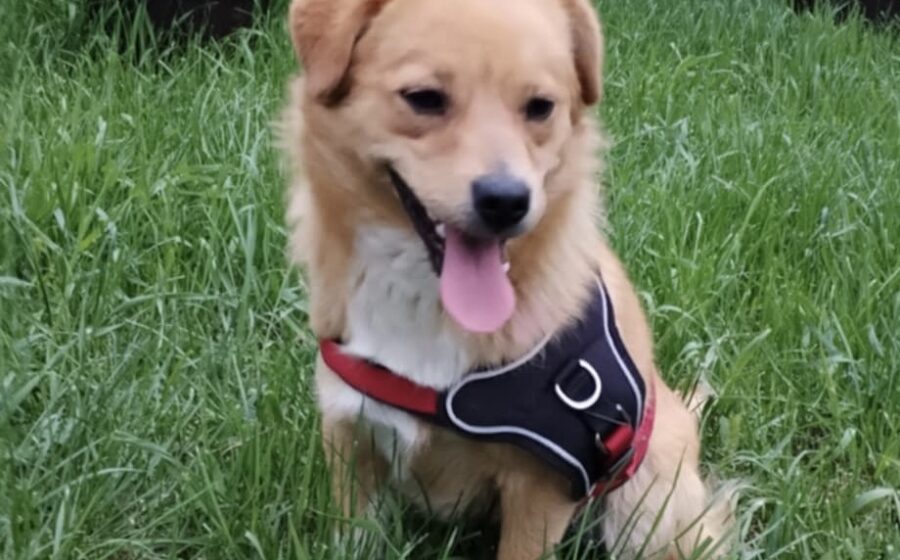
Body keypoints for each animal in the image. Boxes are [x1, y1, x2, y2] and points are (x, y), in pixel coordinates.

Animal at [280, 0, 734, 557]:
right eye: (424, 99)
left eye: (540, 107)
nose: (506, 201)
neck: (426, 304)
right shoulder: (350, 434)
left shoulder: (539, 489)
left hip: (646, 508)